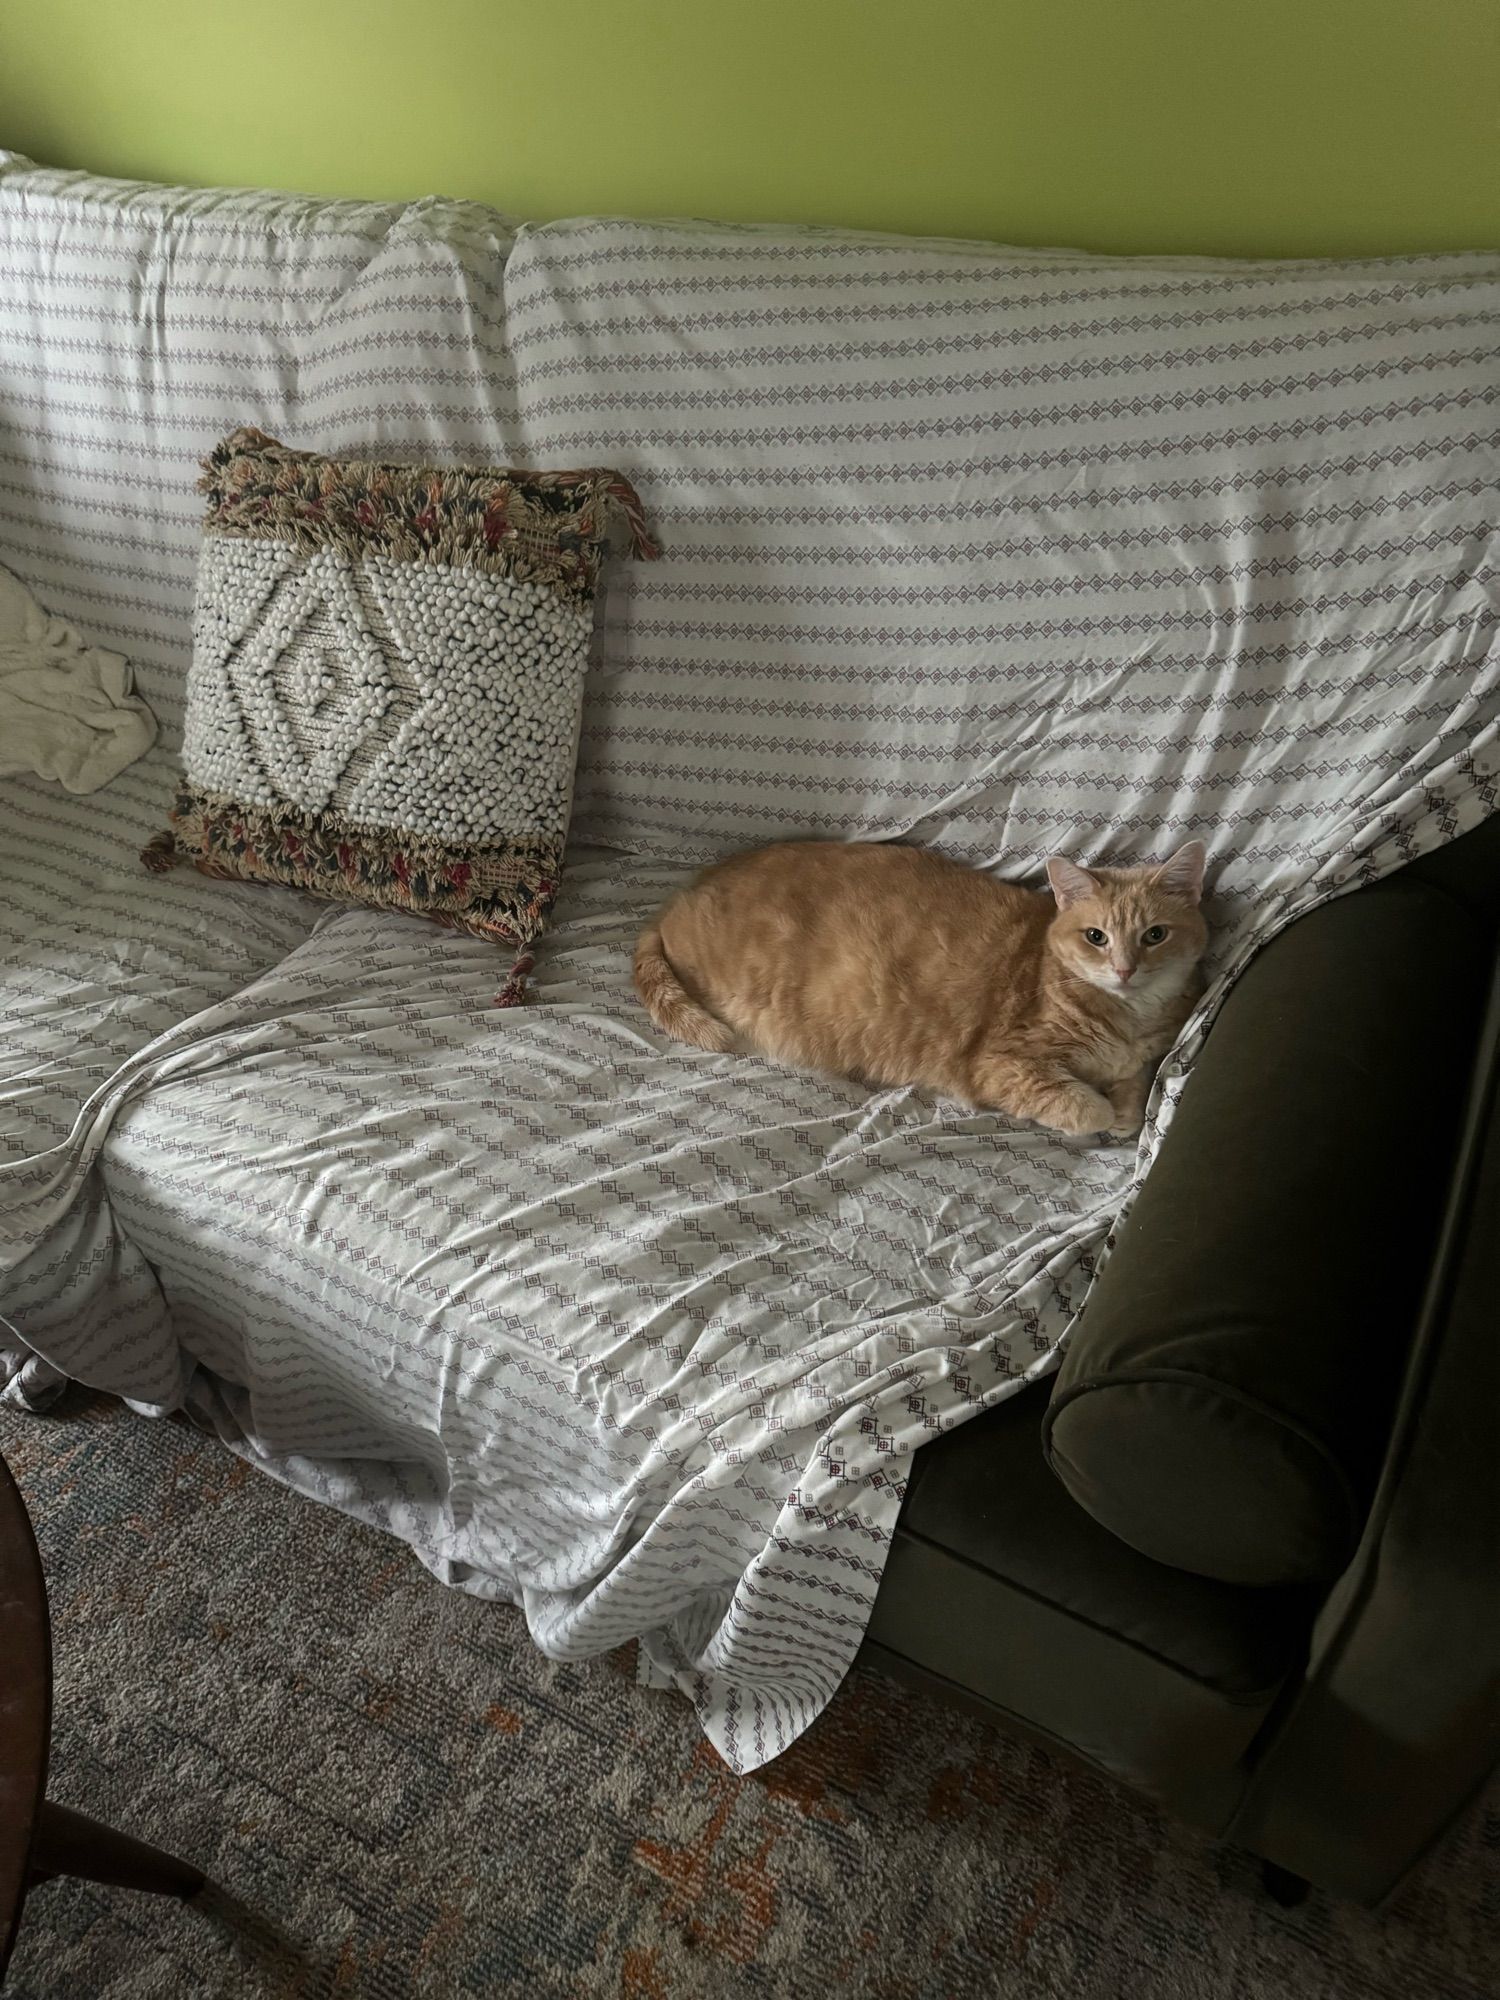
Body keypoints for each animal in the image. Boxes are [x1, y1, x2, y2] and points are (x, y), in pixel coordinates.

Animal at [636, 836, 1208, 1136]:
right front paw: (1105, 1115)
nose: (1126, 970)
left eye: (1154, 935)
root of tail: (674, 902)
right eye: (1096, 937)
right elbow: (1087, 1105)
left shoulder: (1138, 1059)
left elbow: (1134, 1086)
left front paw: (1126, 1111)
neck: (1124, 1019)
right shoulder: (1003, 1066)